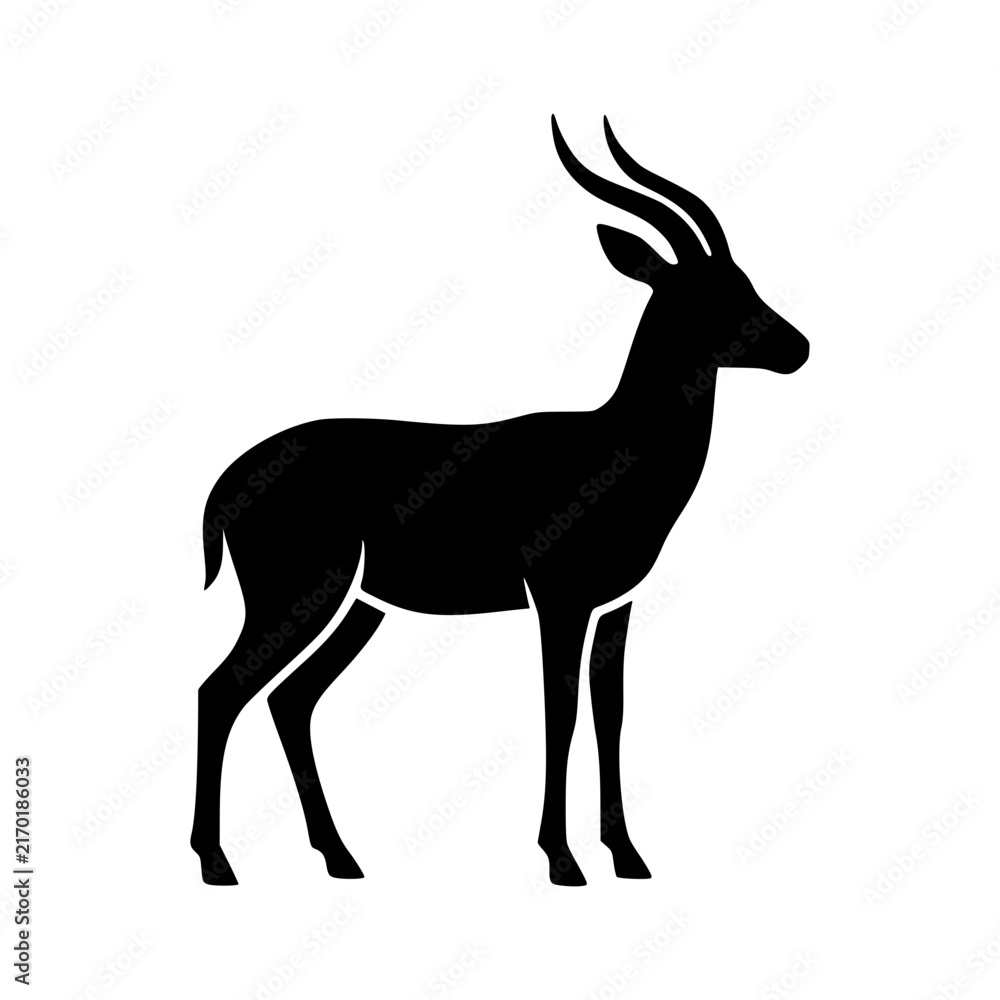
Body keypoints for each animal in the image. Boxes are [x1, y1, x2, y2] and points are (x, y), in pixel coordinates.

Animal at [191, 116, 809, 887]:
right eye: (704, 294)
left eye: (743, 279)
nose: (797, 347)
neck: (615, 447)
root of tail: (227, 482)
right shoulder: (557, 598)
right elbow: (560, 712)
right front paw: (563, 860)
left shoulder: (617, 603)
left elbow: (611, 712)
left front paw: (628, 857)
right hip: (299, 593)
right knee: (221, 691)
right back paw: (218, 862)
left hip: (361, 606)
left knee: (288, 699)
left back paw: (341, 858)